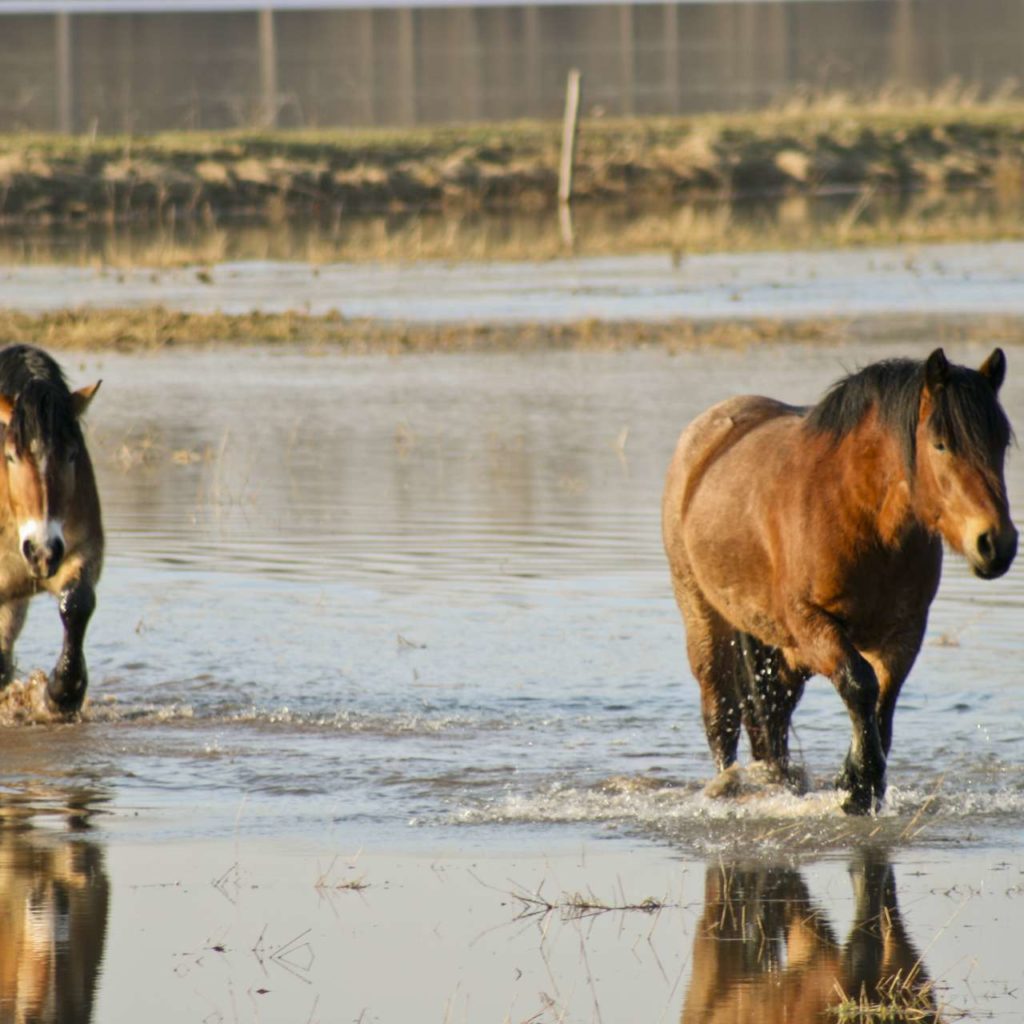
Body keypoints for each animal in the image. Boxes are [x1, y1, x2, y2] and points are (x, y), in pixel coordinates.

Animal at [0, 344, 102, 712]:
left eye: (73, 454)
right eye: (11, 456)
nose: (42, 551)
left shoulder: (81, 551)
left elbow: (77, 603)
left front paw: (62, 692)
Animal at [663, 348, 1015, 811]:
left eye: (1001, 443)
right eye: (940, 444)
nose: (996, 542)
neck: (858, 512)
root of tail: (701, 435)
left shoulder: (904, 632)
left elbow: (883, 701)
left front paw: (862, 782)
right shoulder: (811, 622)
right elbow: (859, 684)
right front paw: (859, 784)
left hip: (784, 651)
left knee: (774, 714)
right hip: (706, 619)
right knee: (720, 710)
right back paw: (727, 785)